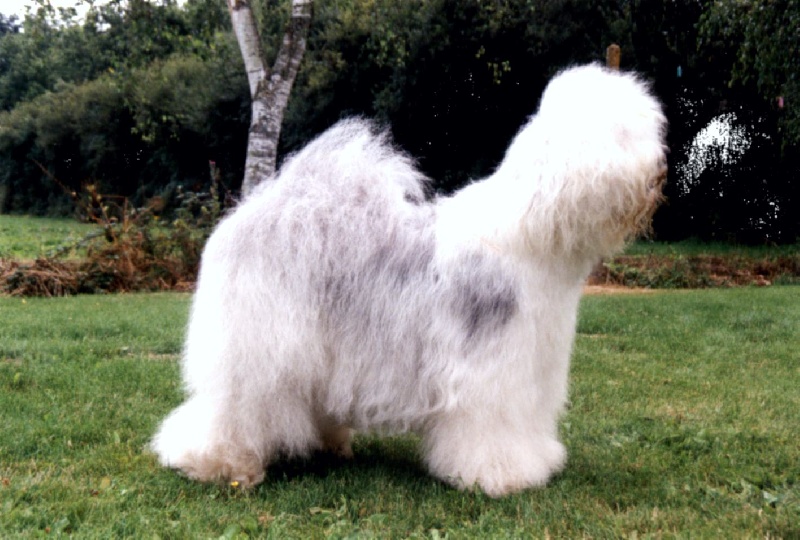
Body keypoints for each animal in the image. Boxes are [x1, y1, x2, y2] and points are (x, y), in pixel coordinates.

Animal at [151, 64, 666, 497]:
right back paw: (220, 464)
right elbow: (492, 429)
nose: (661, 169)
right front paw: (499, 476)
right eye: (623, 134)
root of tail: (262, 206)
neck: (530, 232)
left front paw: (540, 461)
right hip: (259, 347)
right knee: (229, 407)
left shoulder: (534, 370)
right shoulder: (489, 373)